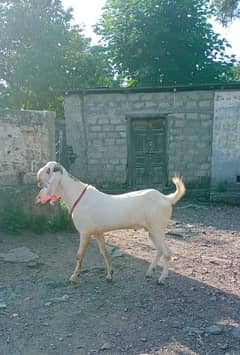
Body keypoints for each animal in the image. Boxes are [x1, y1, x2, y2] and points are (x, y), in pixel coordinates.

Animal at [35, 163, 186, 286]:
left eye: (48, 170)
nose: (37, 176)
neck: (77, 195)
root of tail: (166, 198)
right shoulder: (98, 232)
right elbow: (105, 252)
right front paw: (109, 275)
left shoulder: (85, 232)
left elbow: (79, 255)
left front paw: (73, 277)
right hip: (151, 230)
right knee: (160, 250)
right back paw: (149, 272)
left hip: (157, 228)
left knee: (167, 252)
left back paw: (162, 279)